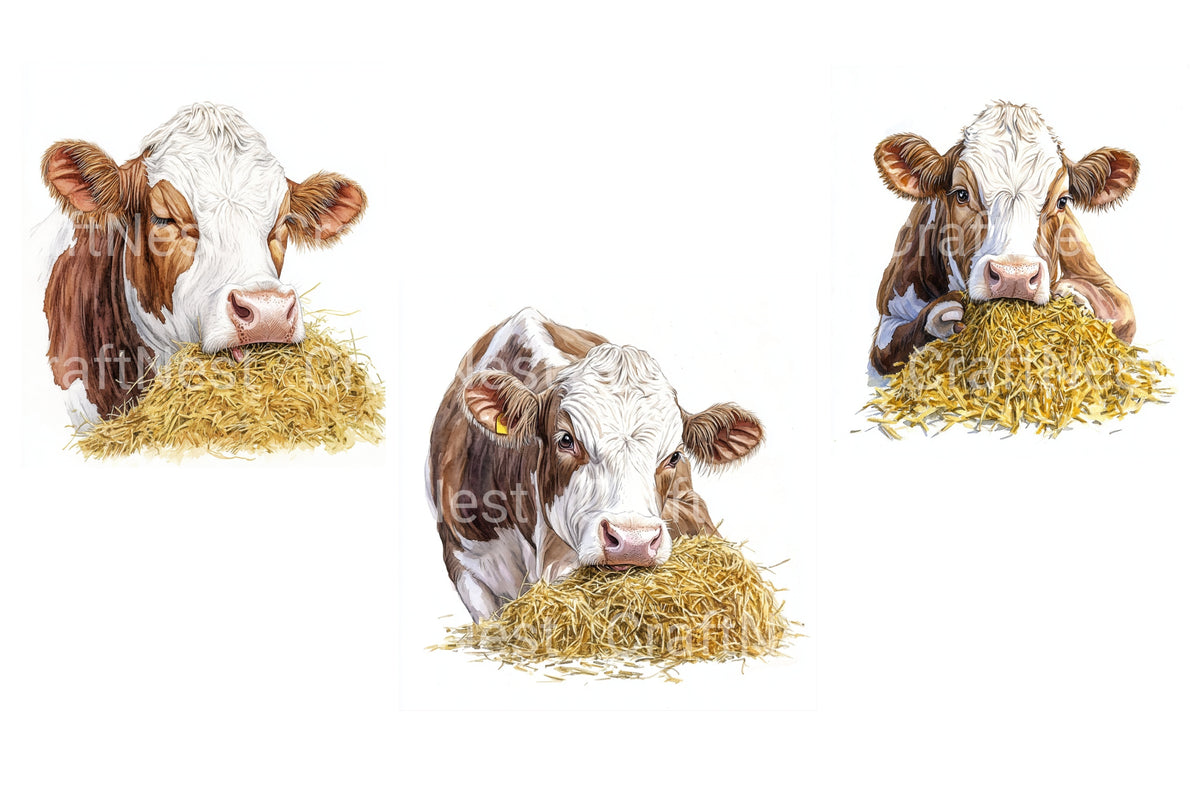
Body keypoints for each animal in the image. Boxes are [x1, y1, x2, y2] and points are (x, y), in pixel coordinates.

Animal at [868, 101, 1139, 382]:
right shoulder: (888, 318)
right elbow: (890, 348)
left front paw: (1074, 296)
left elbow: (1119, 310)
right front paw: (943, 313)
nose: (1014, 277)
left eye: (1062, 201)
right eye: (961, 194)